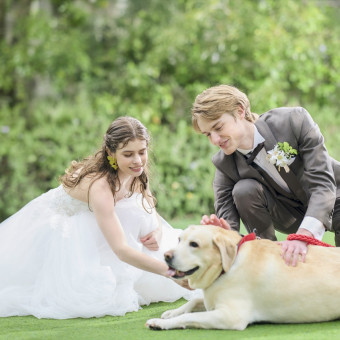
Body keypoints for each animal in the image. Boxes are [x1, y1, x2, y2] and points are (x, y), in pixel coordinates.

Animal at [147, 224, 340, 330]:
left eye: (194, 244)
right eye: (179, 240)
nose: (166, 256)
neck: (228, 265)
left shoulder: (230, 316)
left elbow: (190, 317)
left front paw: (160, 323)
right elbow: (194, 301)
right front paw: (172, 312)